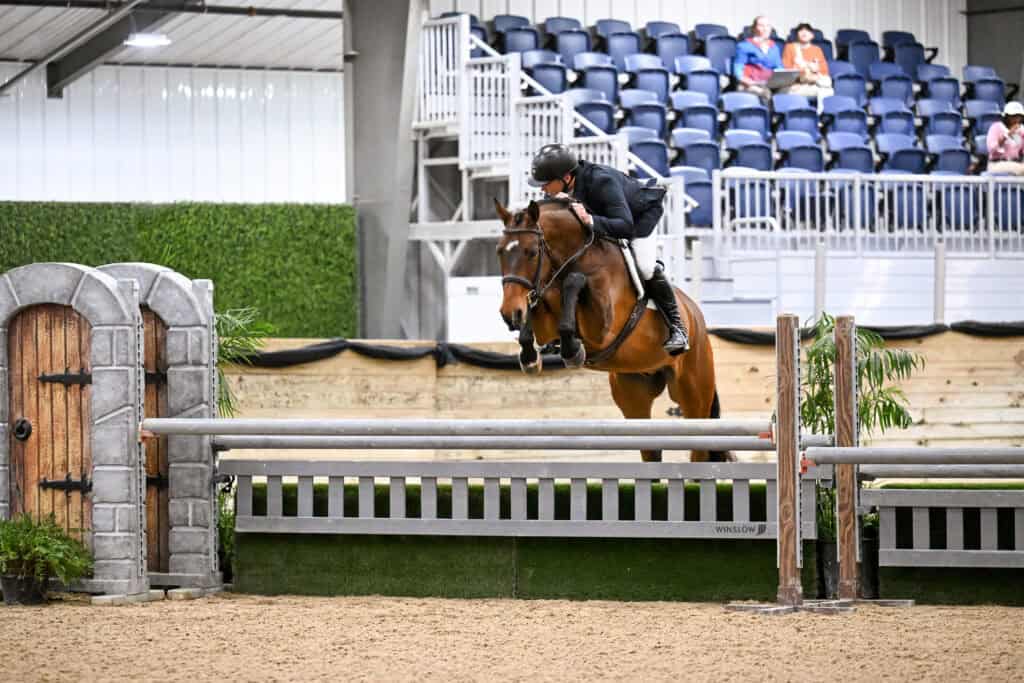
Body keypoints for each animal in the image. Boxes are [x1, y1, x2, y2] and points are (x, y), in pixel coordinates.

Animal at [494, 197, 728, 463]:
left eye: (532, 252)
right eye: (499, 251)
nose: (509, 314)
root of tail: (696, 315)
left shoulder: (600, 329)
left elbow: (573, 281)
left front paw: (572, 350)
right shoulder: (545, 310)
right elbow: (538, 304)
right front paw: (531, 356)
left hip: (694, 394)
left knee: (699, 447)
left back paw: (678, 337)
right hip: (633, 393)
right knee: (651, 448)